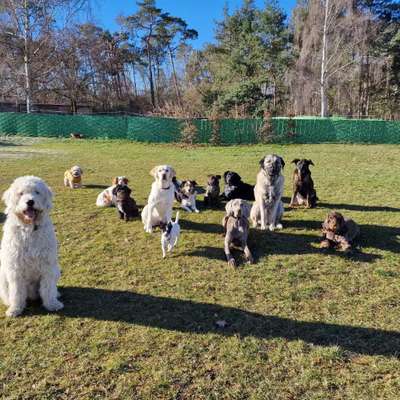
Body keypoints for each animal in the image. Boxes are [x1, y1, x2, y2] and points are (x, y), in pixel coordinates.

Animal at [0, 177, 63, 318]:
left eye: (37, 192)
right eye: (21, 193)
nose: (30, 201)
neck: (29, 229)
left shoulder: (48, 266)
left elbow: (48, 288)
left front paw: (52, 304)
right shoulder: (15, 269)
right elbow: (17, 292)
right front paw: (15, 309)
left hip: (56, 270)